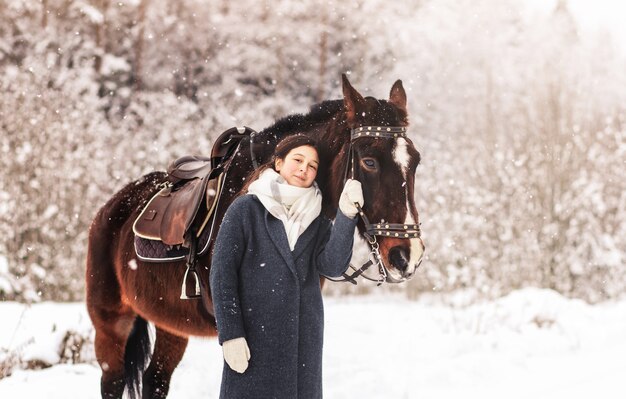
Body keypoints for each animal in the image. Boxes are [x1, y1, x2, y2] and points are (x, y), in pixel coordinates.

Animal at [85, 74, 422, 396]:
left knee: (155, 380)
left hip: (172, 327)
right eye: (369, 161)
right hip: (111, 324)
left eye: (415, 161)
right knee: (113, 382)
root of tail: (113, 206)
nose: (408, 255)